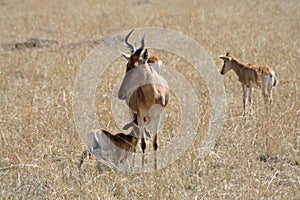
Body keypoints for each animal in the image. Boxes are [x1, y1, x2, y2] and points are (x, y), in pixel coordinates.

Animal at [118, 29, 169, 169]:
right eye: (127, 64)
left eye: (135, 65)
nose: (121, 93)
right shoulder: (140, 116)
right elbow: (143, 143)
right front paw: (142, 167)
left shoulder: (157, 116)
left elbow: (155, 142)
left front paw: (155, 168)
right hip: (133, 114)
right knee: (136, 138)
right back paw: (134, 164)